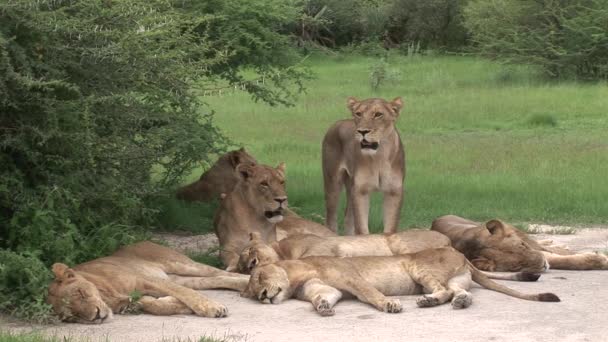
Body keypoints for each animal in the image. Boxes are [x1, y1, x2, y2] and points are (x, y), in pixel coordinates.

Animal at [45, 240, 249, 324]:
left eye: (80, 293)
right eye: (72, 316)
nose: (96, 316)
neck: (107, 295)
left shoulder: (145, 279)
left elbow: (186, 295)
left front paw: (212, 308)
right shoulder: (135, 298)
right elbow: (156, 306)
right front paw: (177, 305)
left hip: (180, 264)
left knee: (218, 272)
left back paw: (251, 282)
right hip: (182, 277)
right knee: (217, 278)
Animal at [320, 96, 406, 235]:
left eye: (378, 114)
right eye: (358, 114)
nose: (362, 131)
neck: (379, 157)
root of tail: (337, 123)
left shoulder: (394, 191)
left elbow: (390, 228)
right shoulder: (360, 190)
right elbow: (361, 228)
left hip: (350, 186)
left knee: (348, 218)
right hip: (332, 183)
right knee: (331, 219)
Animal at [432, 215, 608, 272]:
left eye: (522, 246)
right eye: (518, 266)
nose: (543, 264)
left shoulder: (533, 247)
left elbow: (561, 254)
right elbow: (562, 260)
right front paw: (598, 260)